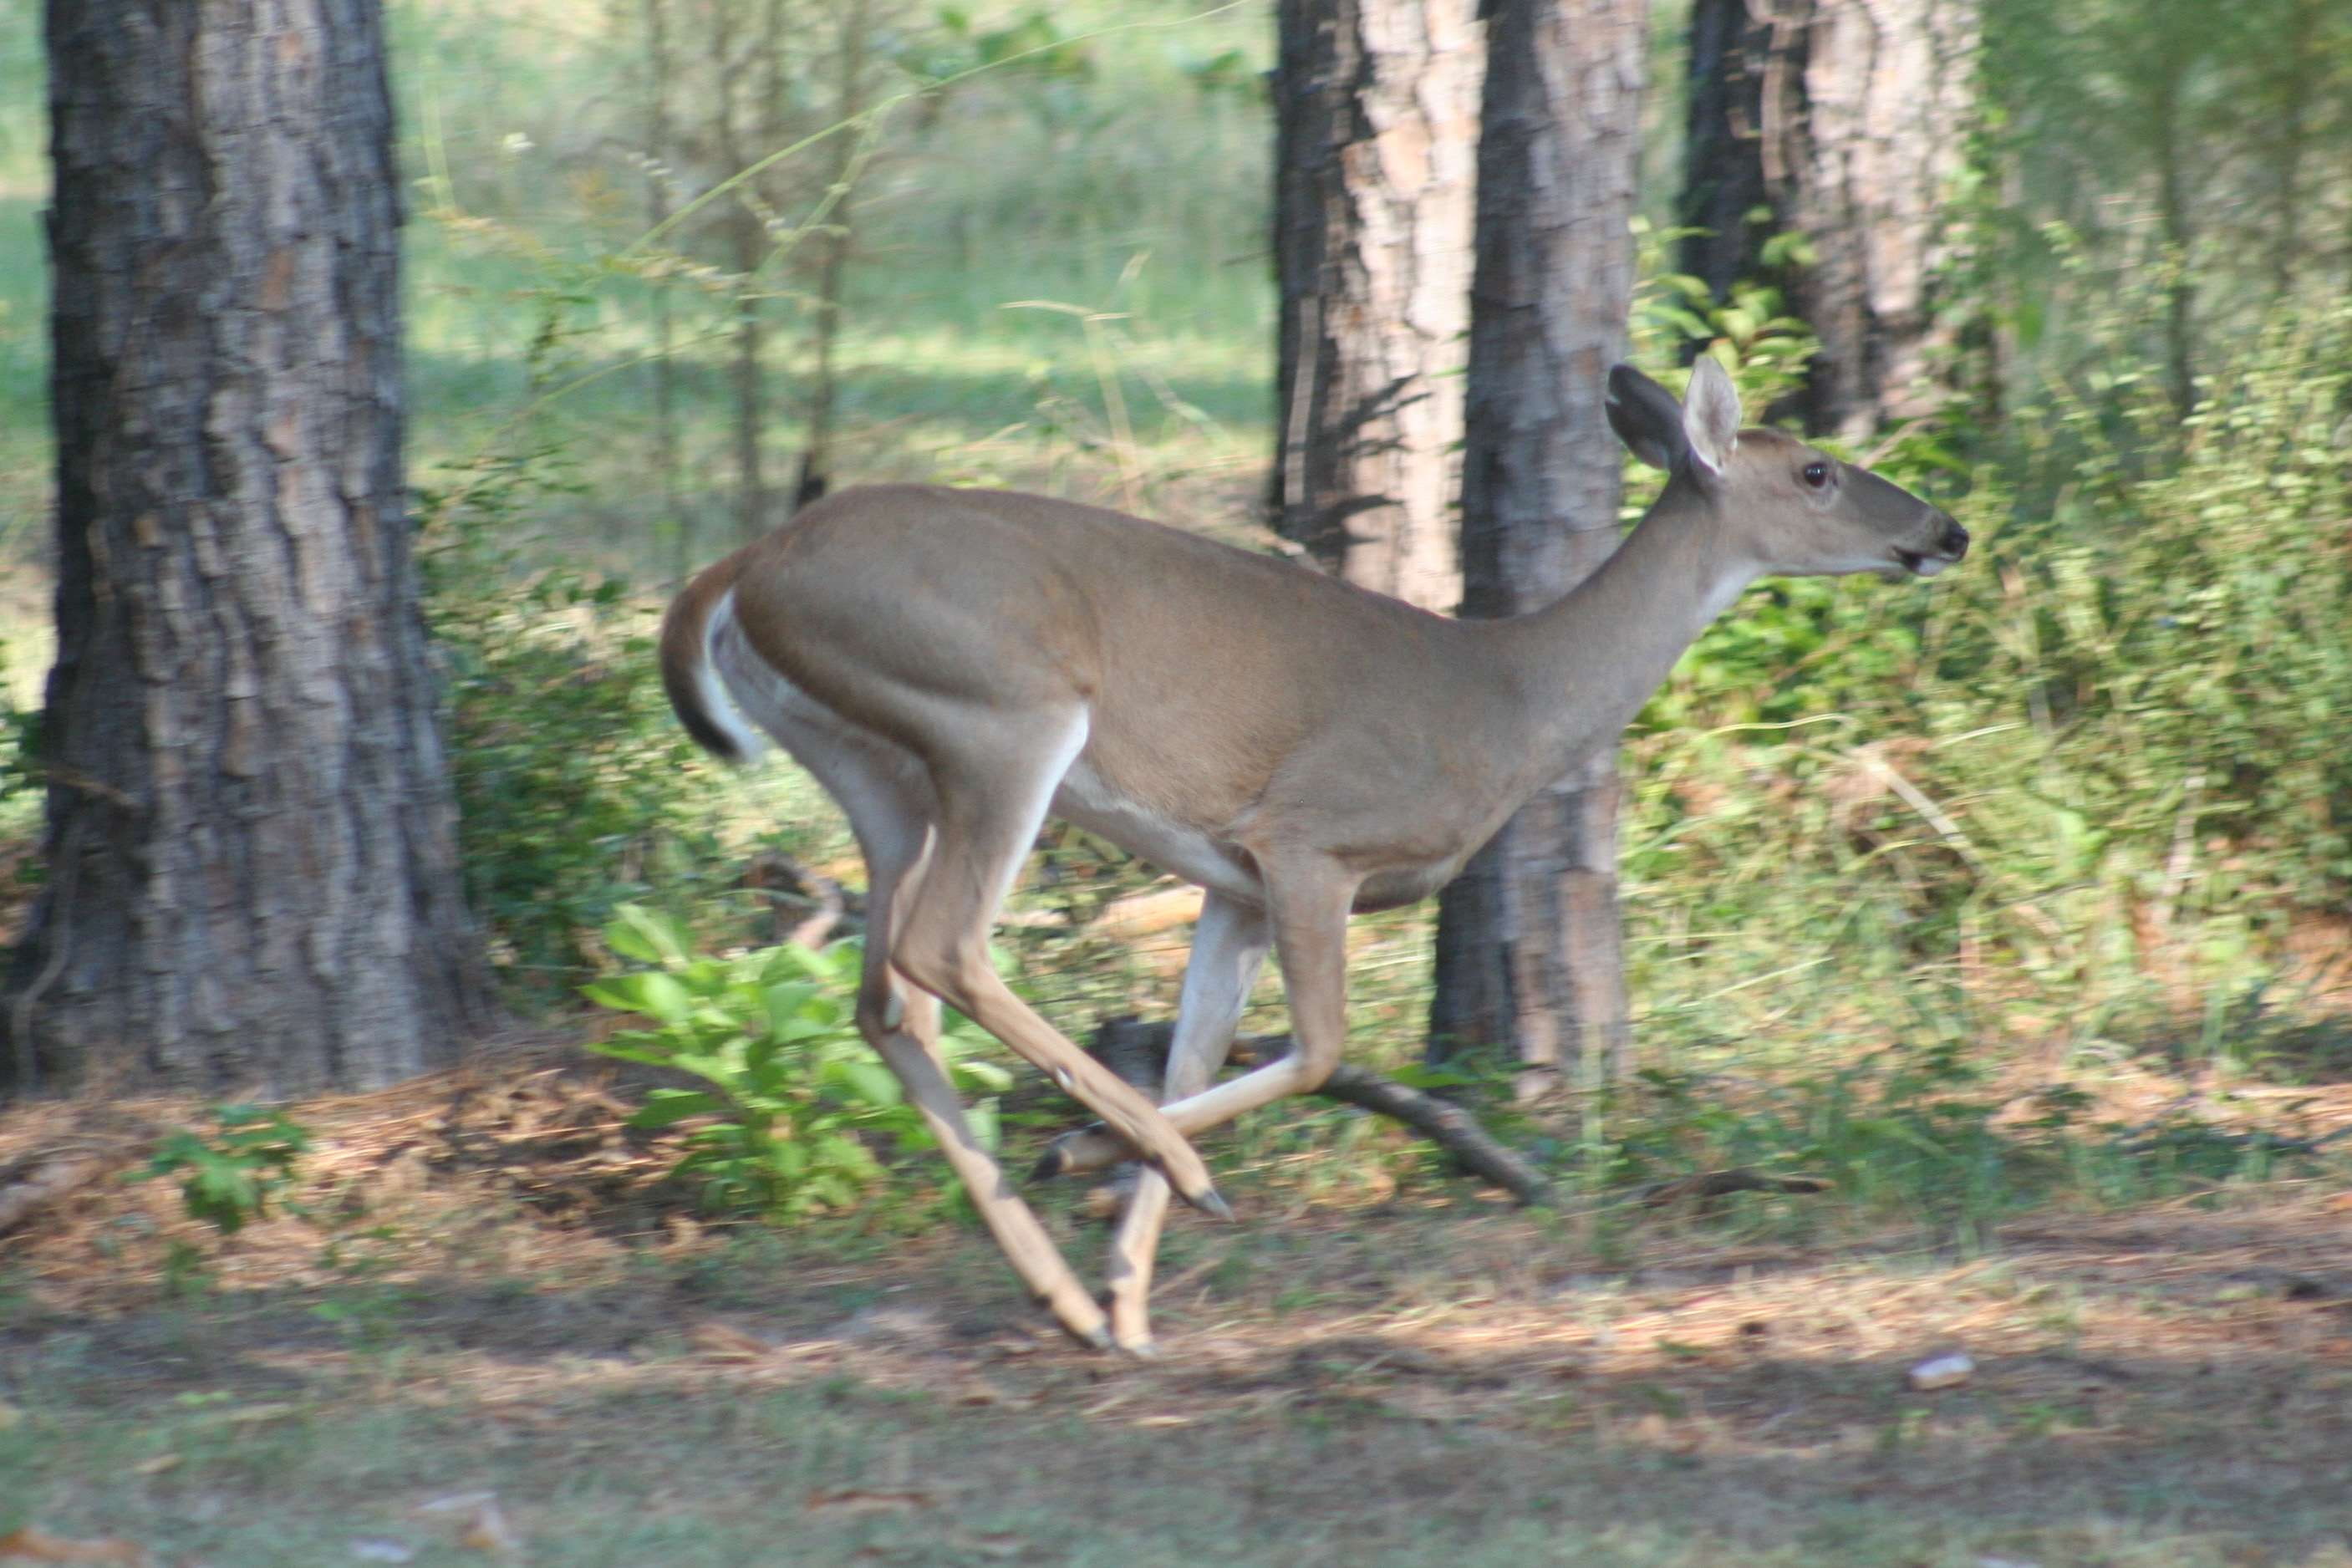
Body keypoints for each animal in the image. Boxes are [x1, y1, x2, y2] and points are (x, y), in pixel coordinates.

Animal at [657, 358, 1968, 1355]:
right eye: (1815, 471)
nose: (1944, 530)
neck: (1509, 699)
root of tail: (741, 570)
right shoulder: (1307, 841)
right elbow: (1321, 1049)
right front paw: (1118, 1162)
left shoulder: (1229, 884)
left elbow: (1193, 1052)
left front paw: (1130, 1292)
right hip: (1000, 716)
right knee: (947, 949)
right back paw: (1133, 1174)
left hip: (875, 772)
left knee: (885, 996)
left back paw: (1068, 1293)